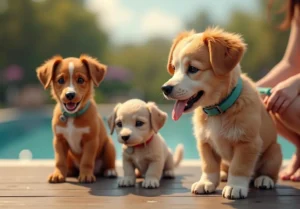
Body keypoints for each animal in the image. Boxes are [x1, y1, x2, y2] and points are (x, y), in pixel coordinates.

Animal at [36, 55, 117, 183]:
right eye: (60, 80)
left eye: (80, 80)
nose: (70, 95)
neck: (71, 117)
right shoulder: (59, 140)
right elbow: (59, 161)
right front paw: (58, 174)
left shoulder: (90, 141)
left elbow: (87, 161)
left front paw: (86, 175)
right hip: (70, 155)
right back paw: (69, 172)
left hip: (109, 146)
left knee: (109, 163)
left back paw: (110, 171)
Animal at [162, 27, 282, 199]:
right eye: (174, 67)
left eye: (193, 69)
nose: (165, 89)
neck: (216, 110)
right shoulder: (205, 142)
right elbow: (209, 166)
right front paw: (206, 183)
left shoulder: (248, 143)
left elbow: (239, 167)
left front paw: (235, 186)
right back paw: (224, 174)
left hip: (275, 151)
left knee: (269, 171)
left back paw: (265, 179)